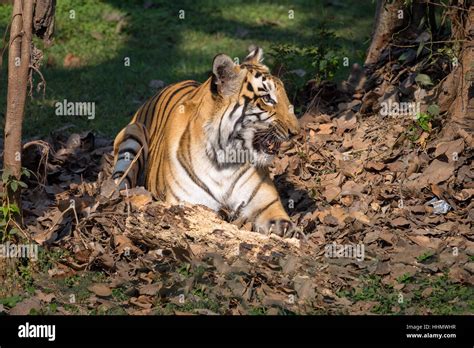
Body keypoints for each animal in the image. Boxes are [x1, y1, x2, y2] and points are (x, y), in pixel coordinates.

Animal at [111, 46, 298, 237]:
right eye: (267, 98)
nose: (295, 132)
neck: (225, 160)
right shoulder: (189, 202)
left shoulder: (266, 203)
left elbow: (283, 224)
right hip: (133, 135)